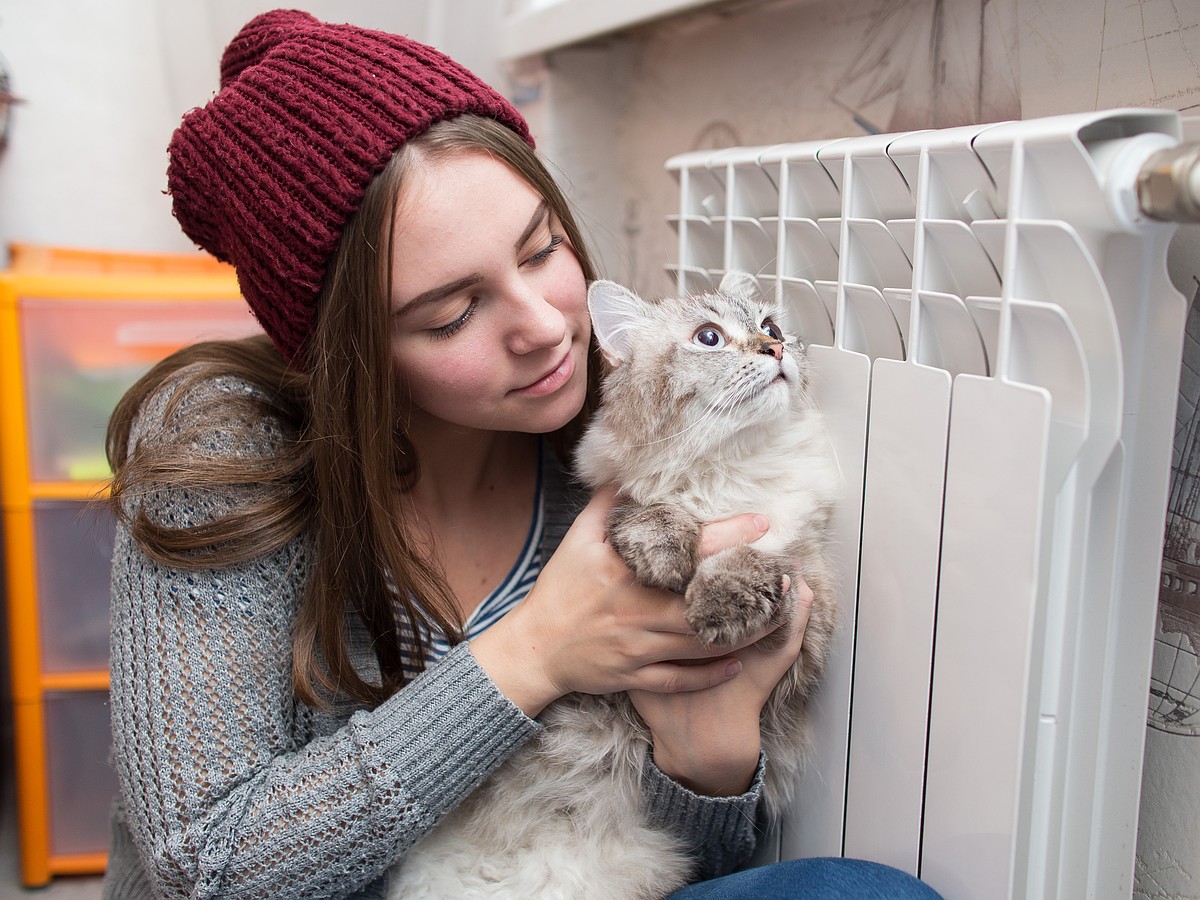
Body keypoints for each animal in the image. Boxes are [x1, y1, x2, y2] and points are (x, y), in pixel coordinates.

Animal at [388, 271, 840, 897]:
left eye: (771, 327)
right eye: (709, 337)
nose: (773, 350)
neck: (730, 470)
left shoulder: (809, 600)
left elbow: (764, 561)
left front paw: (714, 604)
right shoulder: (621, 504)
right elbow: (647, 512)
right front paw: (666, 557)